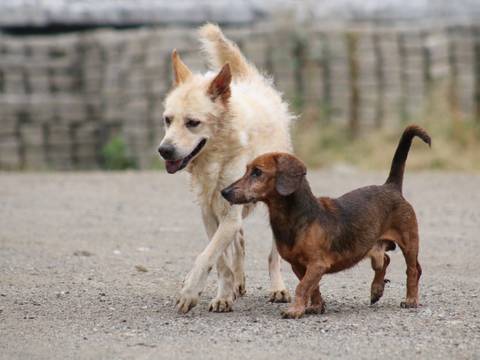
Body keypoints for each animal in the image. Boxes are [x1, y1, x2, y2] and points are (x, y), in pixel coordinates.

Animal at [158, 23, 292, 314]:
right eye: (167, 120)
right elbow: (218, 259)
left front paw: (190, 291)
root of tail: (252, 82)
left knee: (272, 255)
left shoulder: (229, 214)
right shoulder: (209, 212)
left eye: (193, 122)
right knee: (239, 242)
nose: (164, 150)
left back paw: (278, 288)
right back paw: (237, 284)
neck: (215, 159)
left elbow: (207, 255)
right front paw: (223, 294)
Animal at [221, 126, 432, 318]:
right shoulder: (299, 266)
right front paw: (316, 306)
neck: (296, 217)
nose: (224, 192)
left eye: (257, 172)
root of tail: (391, 186)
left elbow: (302, 287)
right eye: (247, 170)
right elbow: (311, 287)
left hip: (409, 242)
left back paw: (410, 299)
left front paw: (294, 310)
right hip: (374, 246)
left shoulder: (317, 264)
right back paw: (376, 289)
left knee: (413, 270)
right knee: (384, 260)